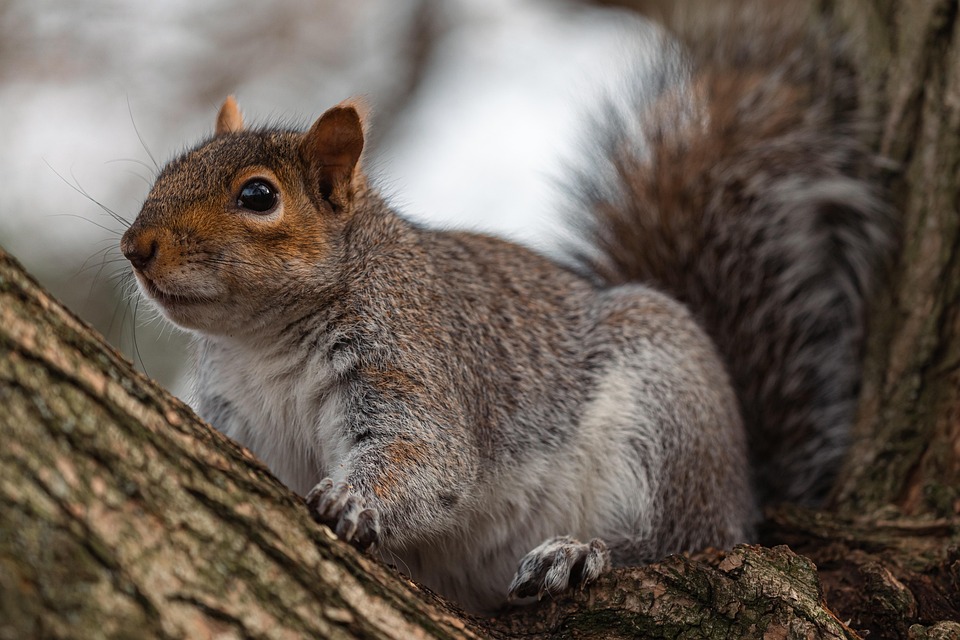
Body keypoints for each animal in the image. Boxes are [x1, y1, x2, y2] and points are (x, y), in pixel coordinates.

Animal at [120, 1, 894, 614]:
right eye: (168, 169)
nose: (134, 245)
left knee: (674, 545)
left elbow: (429, 458)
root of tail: (744, 492)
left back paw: (578, 553)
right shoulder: (238, 417)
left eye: (258, 196)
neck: (263, 343)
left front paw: (353, 500)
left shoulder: (410, 362)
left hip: (667, 418)